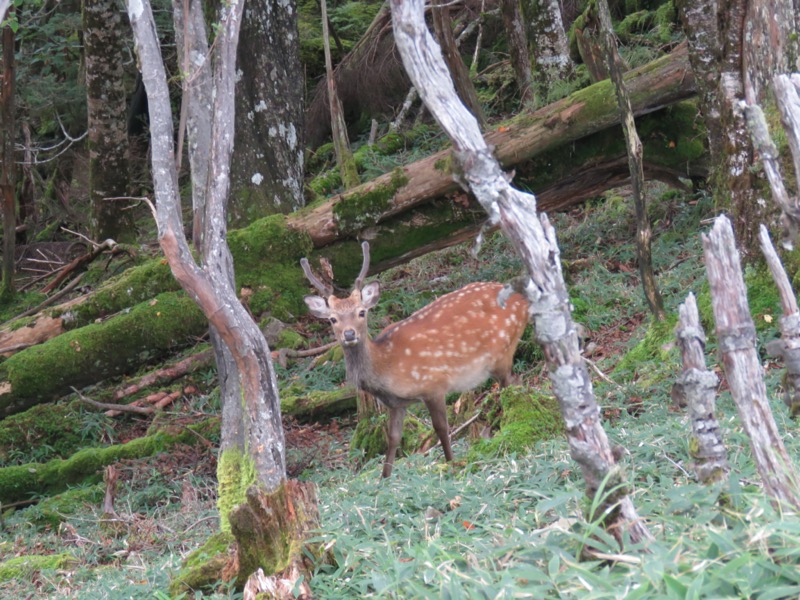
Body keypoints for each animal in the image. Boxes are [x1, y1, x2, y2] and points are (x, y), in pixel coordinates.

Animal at [304, 241, 528, 476]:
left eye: (362, 312)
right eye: (332, 319)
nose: (349, 334)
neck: (385, 366)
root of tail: (523, 300)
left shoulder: (433, 385)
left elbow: (441, 428)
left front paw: (451, 463)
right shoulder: (396, 404)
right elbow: (393, 439)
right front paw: (384, 478)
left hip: (502, 351)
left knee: (511, 384)